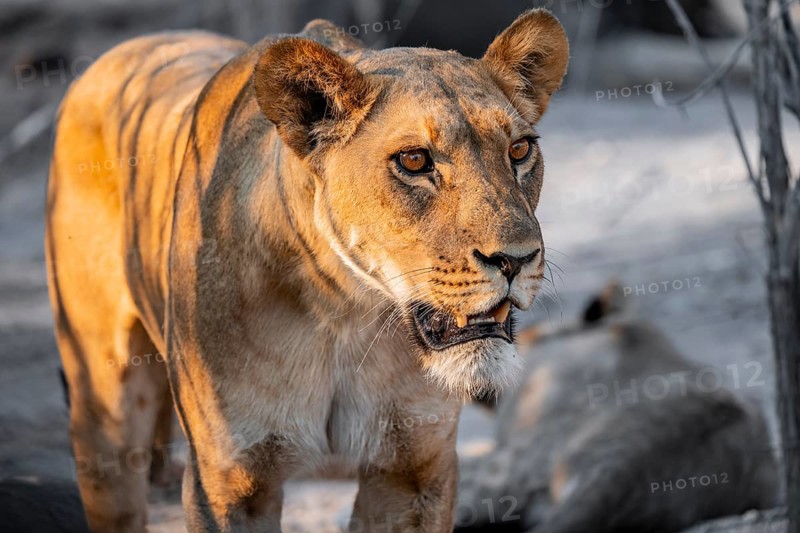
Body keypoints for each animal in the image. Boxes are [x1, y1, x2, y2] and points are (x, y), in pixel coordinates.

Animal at [45, 10, 569, 532]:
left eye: (519, 150)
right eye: (415, 160)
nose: (516, 259)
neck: (344, 312)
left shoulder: (414, 469)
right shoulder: (227, 482)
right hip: (104, 408)